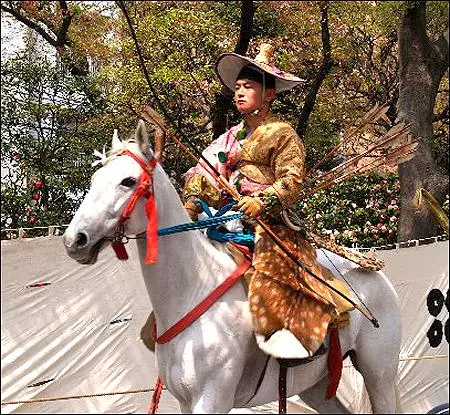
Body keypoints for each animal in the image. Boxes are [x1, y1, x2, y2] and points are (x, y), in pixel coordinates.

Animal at [62, 122, 400, 414]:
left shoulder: (213, 398)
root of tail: (382, 280)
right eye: (94, 181)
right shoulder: (185, 401)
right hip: (314, 384)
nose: (74, 239)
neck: (191, 292)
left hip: (380, 373)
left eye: (128, 181)